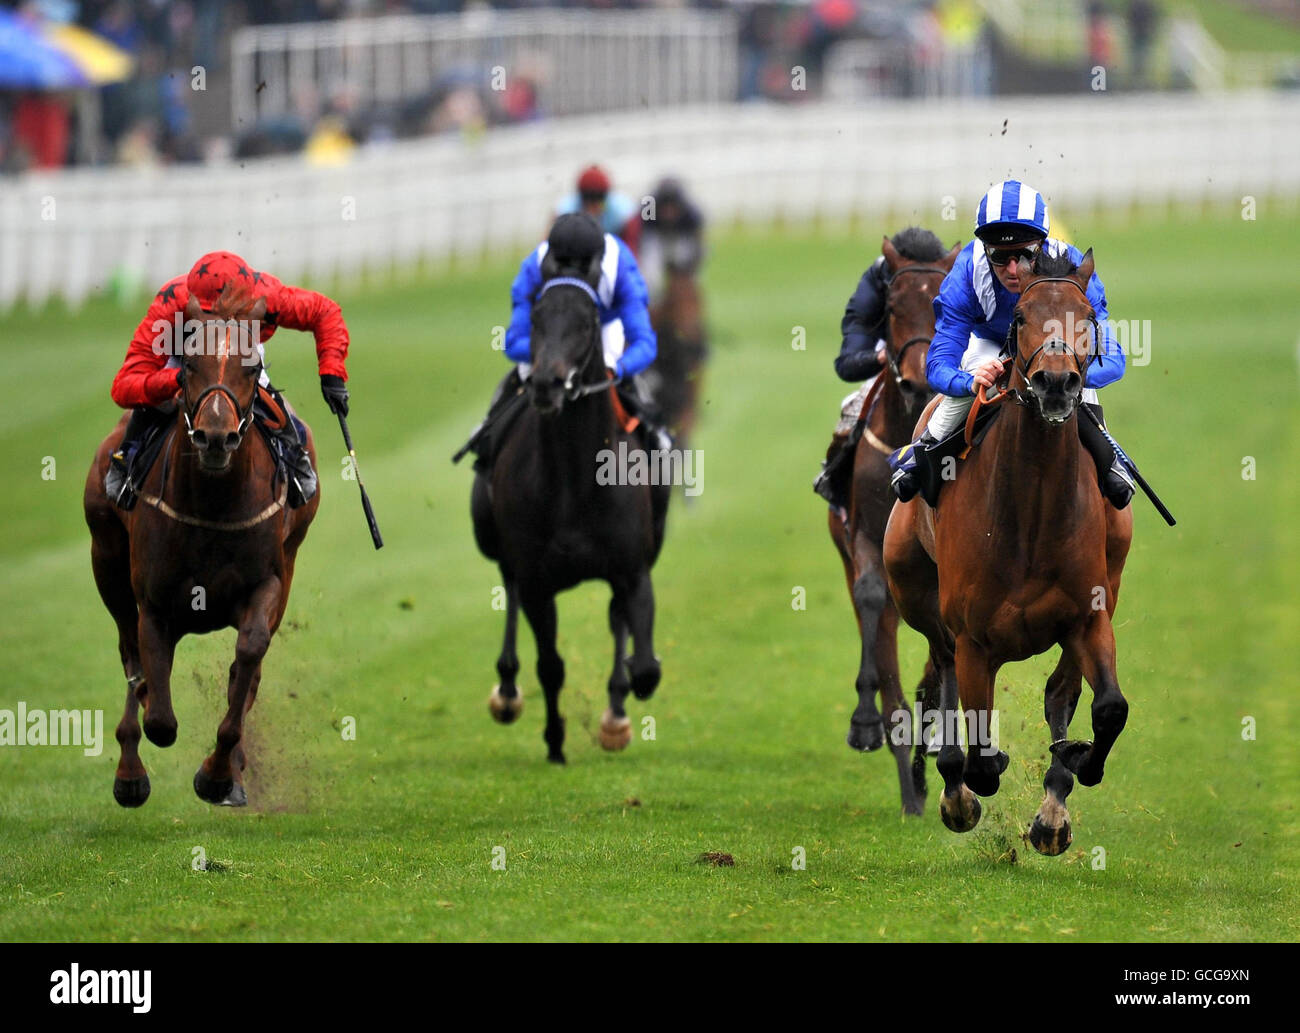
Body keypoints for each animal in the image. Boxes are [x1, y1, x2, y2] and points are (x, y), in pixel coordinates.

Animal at [84, 283, 317, 805]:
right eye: (190, 364)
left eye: (251, 366)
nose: (215, 437)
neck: (214, 504)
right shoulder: (153, 602)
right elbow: (159, 715)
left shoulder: (270, 581)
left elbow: (249, 654)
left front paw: (219, 773)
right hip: (105, 559)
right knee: (129, 652)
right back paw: (129, 772)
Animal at [470, 279, 670, 764]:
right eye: (536, 318)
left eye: (586, 324)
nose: (546, 383)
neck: (575, 480)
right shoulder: (538, 581)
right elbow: (550, 665)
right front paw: (555, 743)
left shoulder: (633, 571)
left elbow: (643, 667)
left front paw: (617, 715)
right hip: (492, 536)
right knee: (509, 587)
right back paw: (507, 691)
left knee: (618, 623)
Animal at [878, 246, 1133, 852]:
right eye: (1020, 318)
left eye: (1087, 317)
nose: (1056, 383)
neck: (1032, 514)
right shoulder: (973, 636)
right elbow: (980, 753)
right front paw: (970, 781)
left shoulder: (1088, 617)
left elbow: (1108, 707)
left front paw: (1076, 764)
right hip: (915, 592)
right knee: (944, 673)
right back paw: (954, 788)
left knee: (1061, 692)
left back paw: (1053, 808)